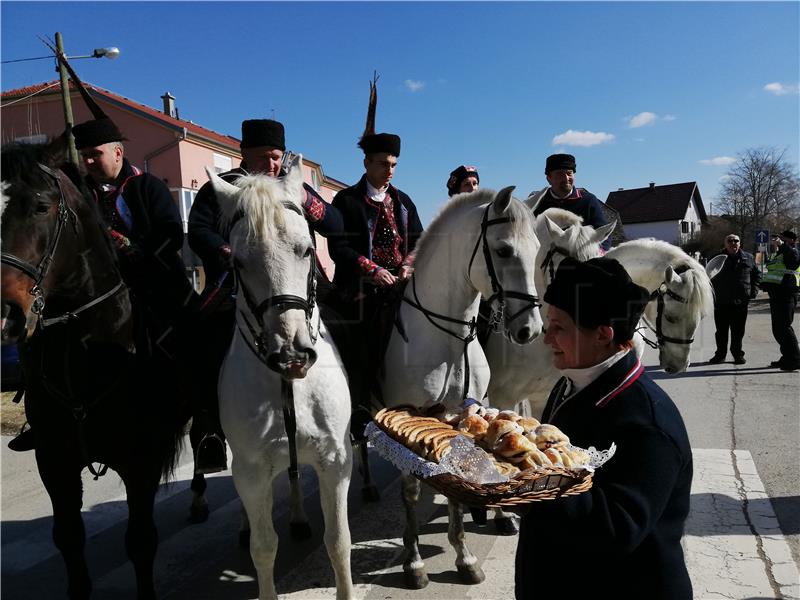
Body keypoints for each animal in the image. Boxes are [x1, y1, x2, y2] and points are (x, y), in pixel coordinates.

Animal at [1, 138, 189, 600]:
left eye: (41, 206)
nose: (5, 315)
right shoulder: (55, 462)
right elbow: (69, 539)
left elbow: (140, 542)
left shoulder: (141, 462)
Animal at [209, 159, 354, 600]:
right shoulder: (252, 471)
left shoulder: (336, 460)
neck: (288, 385)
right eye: (237, 262)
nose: (291, 353)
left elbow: (338, 541)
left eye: (306, 249)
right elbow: (263, 547)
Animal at [376, 186, 540, 584]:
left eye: (537, 249)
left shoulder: (456, 417)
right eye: (504, 250)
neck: (445, 339)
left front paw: (465, 558)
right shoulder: (400, 421)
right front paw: (414, 562)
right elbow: (410, 491)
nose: (530, 329)